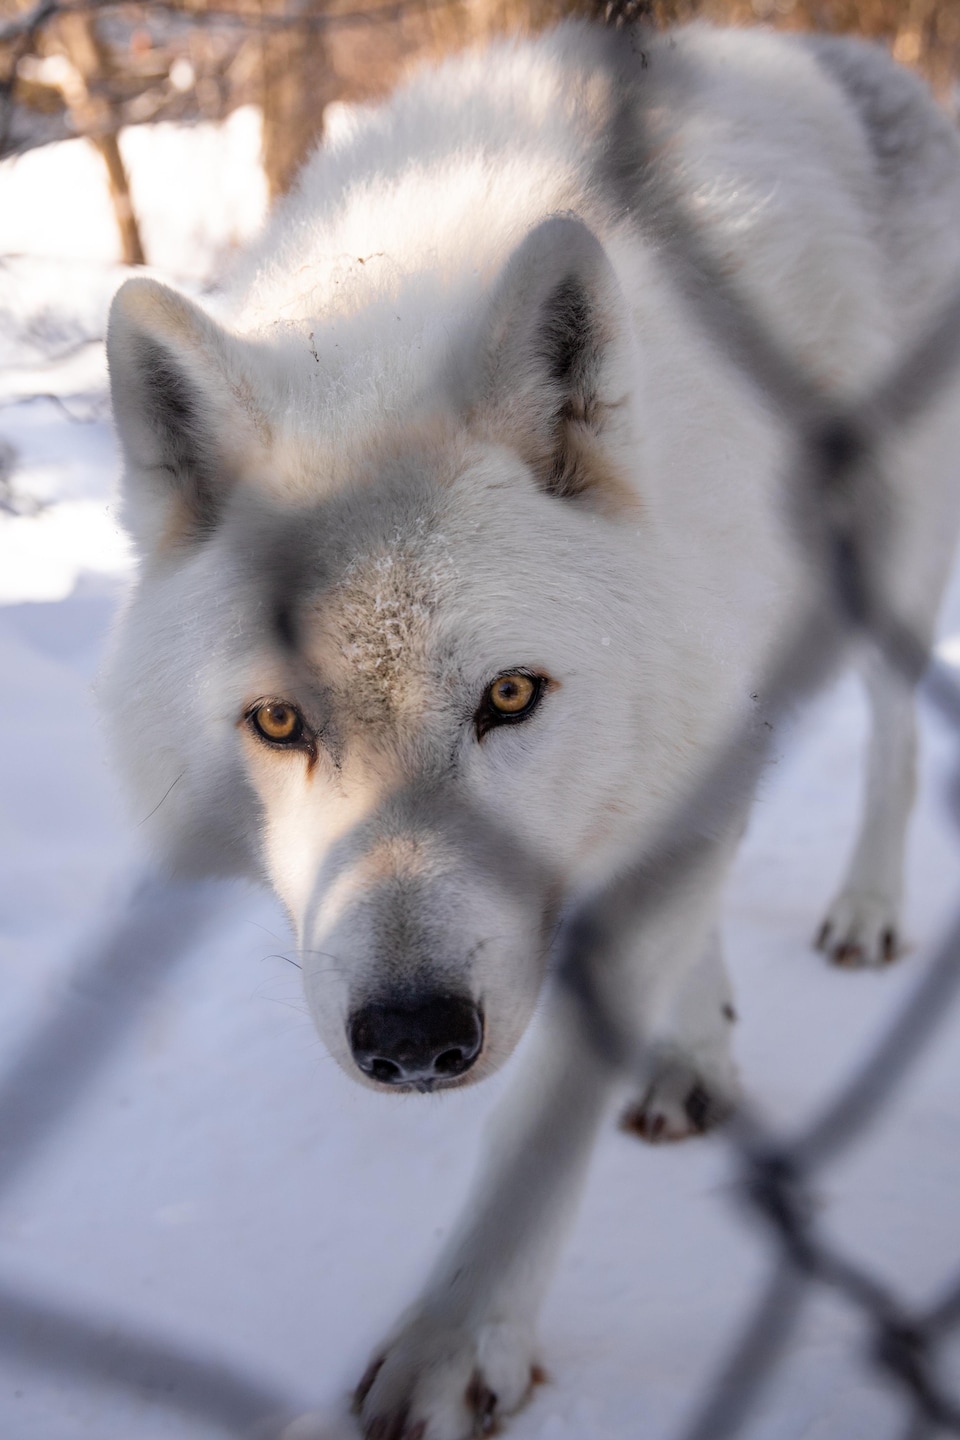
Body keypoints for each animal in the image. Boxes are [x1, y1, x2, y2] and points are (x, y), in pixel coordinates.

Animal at [102, 20, 960, 1439]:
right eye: (279, 721)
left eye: (509, 697)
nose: (409, 1041)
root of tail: (845, 52)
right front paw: (688, 1039)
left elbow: (544, 1126)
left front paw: (457, 1342)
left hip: (876, 580)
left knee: (897, 733)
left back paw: (868, 911)